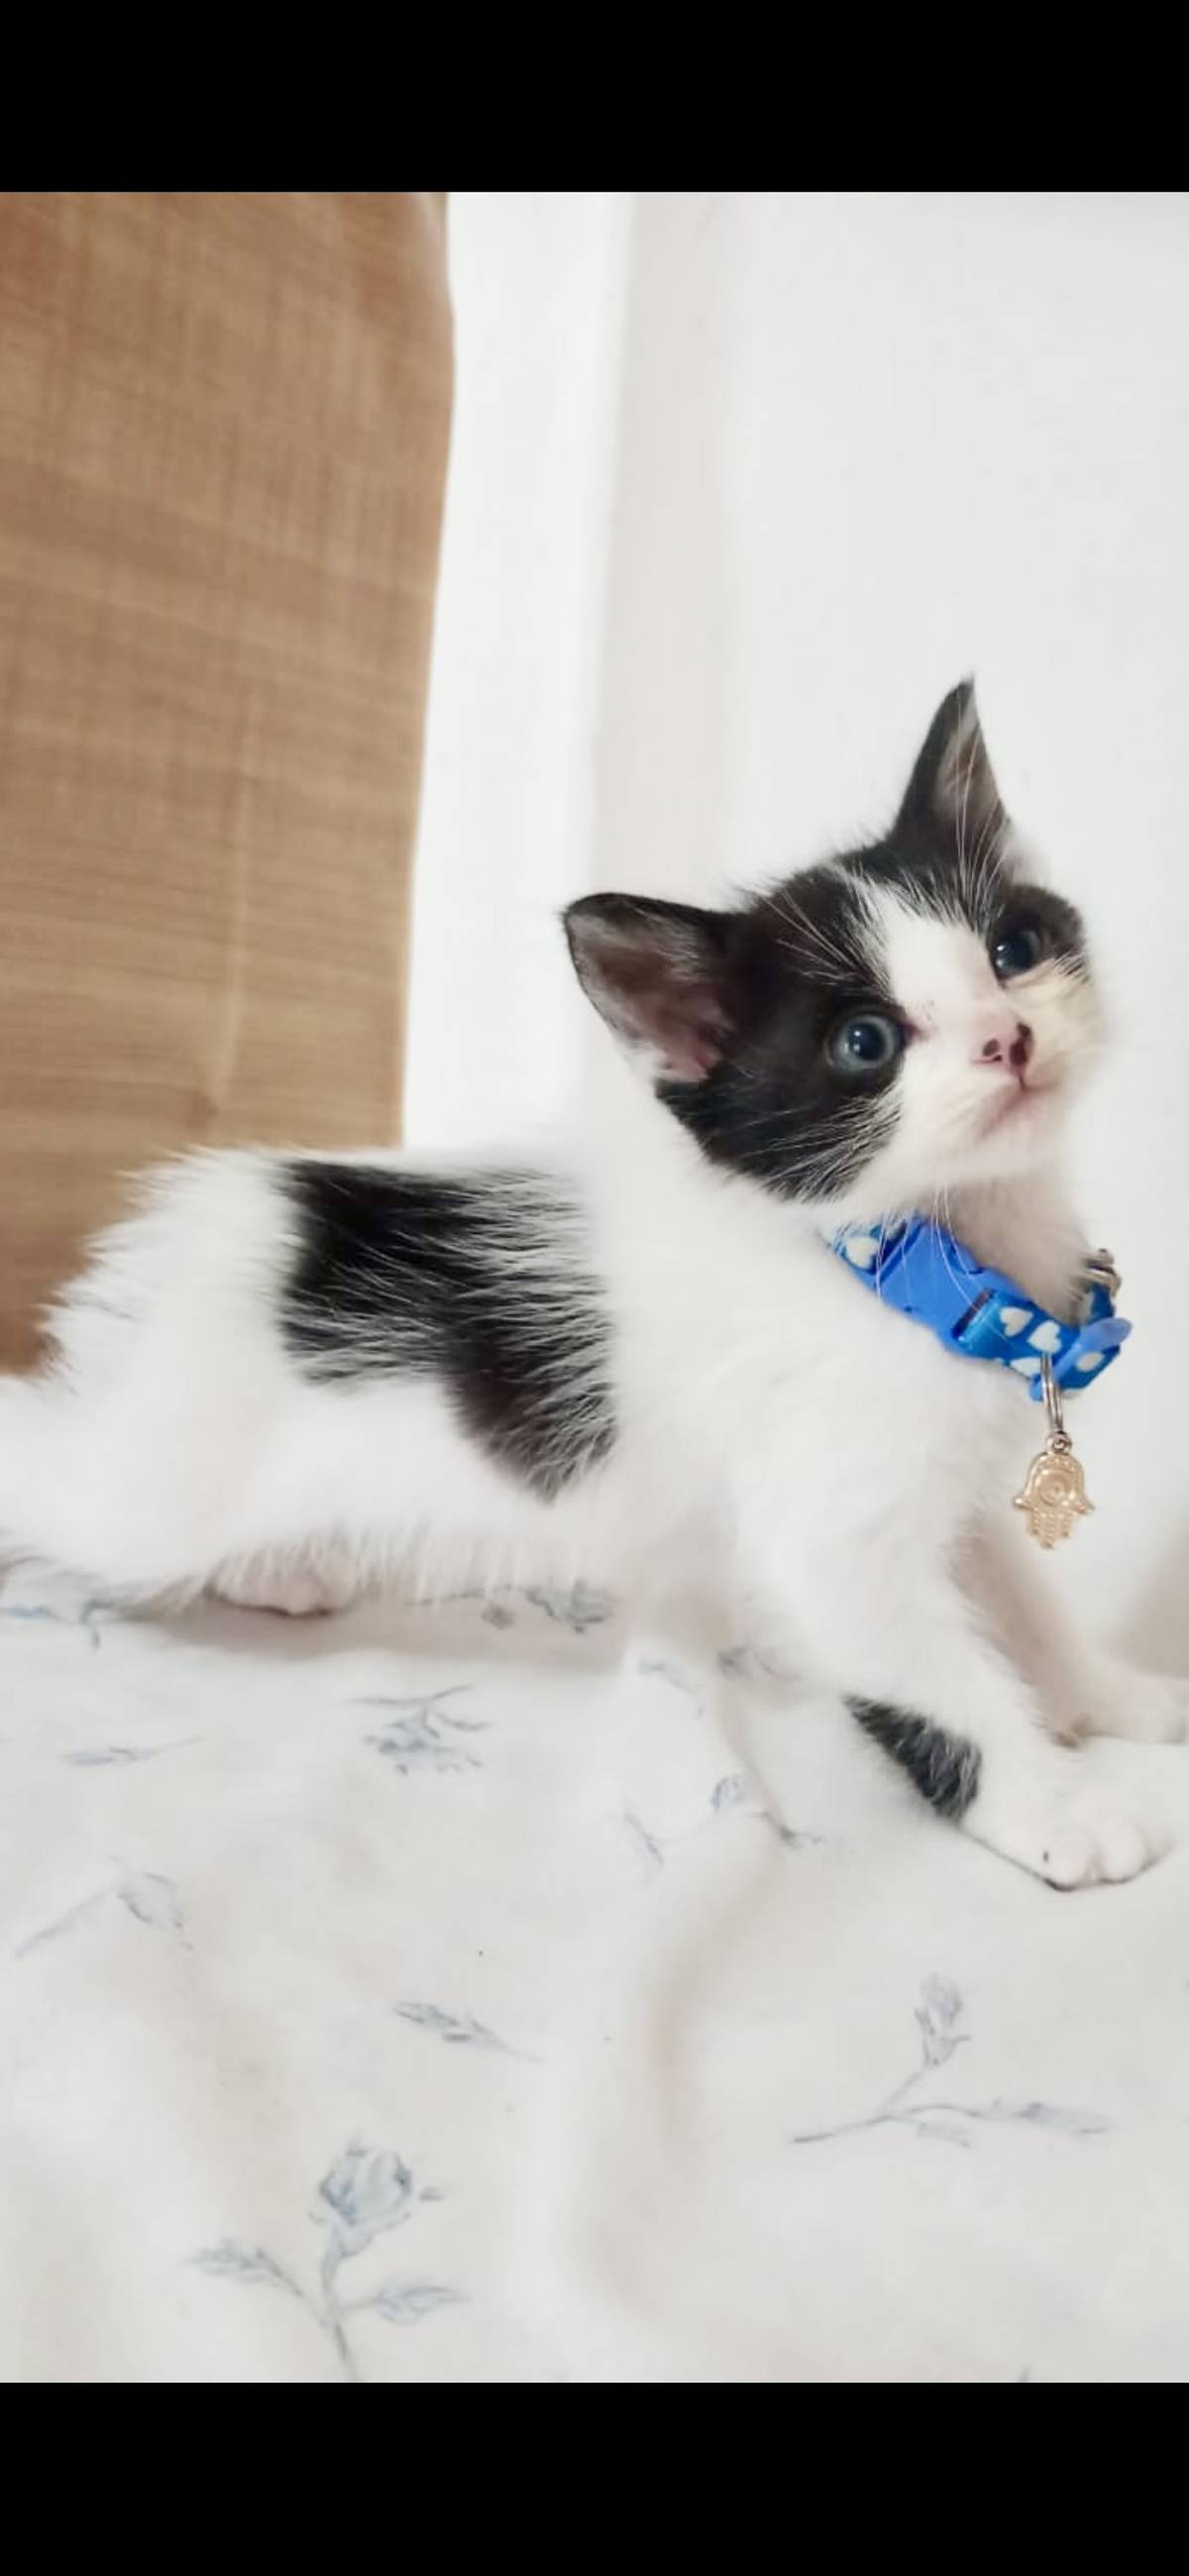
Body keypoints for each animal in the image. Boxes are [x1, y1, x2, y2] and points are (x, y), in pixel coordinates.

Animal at [1, 680, 1183, 1886]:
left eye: (1013, 946)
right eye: (866, 1042)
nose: (1007, 1037)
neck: (910, 1259)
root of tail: (210, 1223)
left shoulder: (951, 1483)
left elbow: (1021, 1600)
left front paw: (1109, 1696)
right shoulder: (836, 1532)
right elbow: (944, 1683)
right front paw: (1056, 1806)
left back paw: (280, 1568)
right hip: (151, 1485)